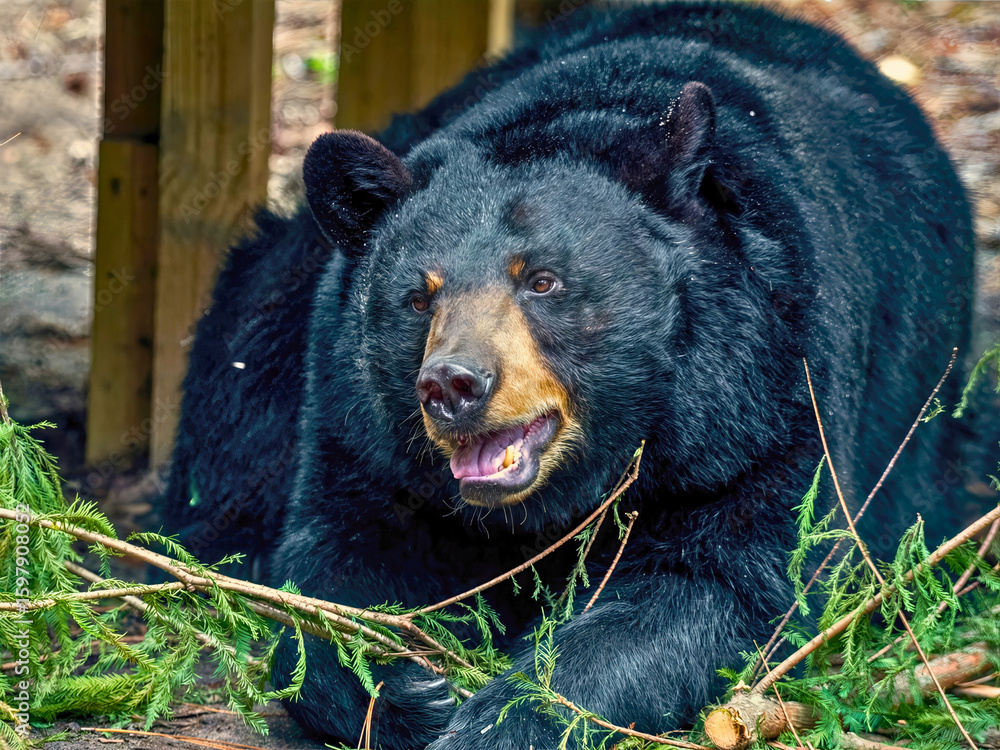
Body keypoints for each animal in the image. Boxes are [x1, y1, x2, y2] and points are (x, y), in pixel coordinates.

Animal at [164, 3, 979, 749]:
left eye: (543, 281)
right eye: (418, 296)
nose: (452, 385)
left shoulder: (765, 406)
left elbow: (723, 582)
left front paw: (501, 718)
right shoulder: (359, 423)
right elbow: (334, 559)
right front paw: (402, 691)